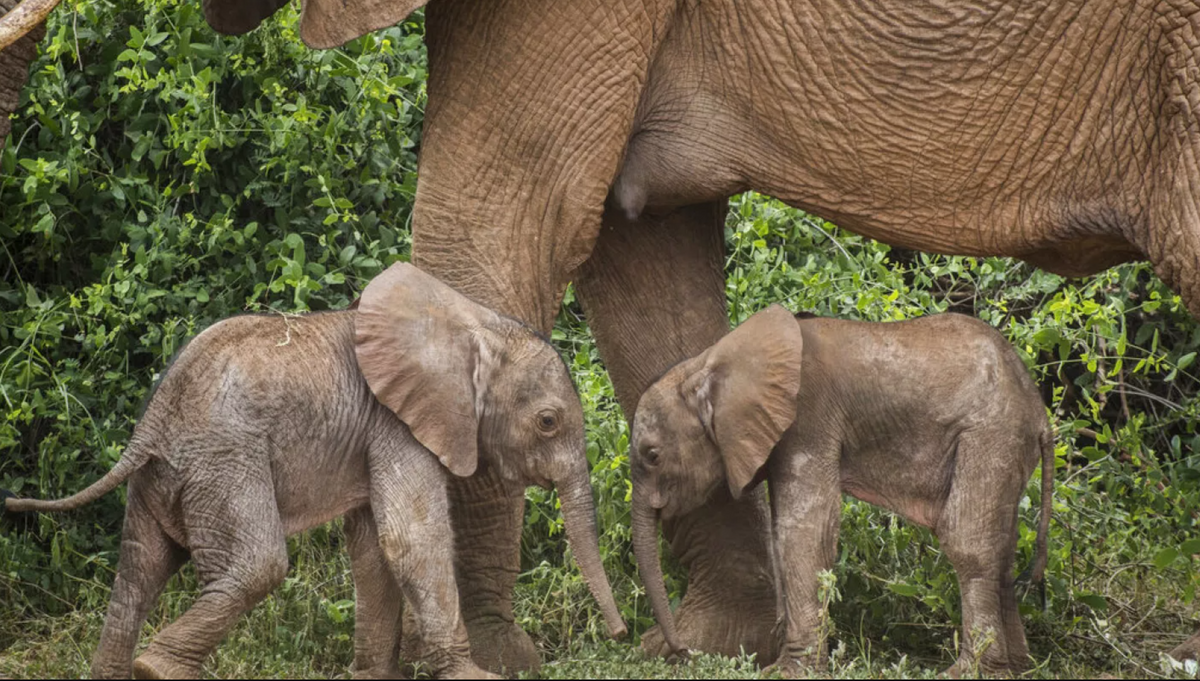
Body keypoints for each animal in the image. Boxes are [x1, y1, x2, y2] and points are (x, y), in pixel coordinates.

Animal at [7, 262, 628, 681]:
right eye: (547, 422)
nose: (623, 635)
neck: (472, 325)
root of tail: (152, 422)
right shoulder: (396, 423)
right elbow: (411, 539)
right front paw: (472, 676)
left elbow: (375, 549)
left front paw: (374, 677)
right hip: (224, 460)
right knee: (256, 565)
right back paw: (157, 669)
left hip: (168, 474)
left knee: (138, 571)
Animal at [633, 306, 1056, 676]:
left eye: (652, 455)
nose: (682, 652)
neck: (708, 362)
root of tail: (1039, 411)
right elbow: (781, 532)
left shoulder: (808, 418)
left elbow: (803, 534)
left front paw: (788, 672)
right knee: (1002, 548)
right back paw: (1017, 668)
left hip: (991, 434)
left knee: (968, 542)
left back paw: (968, 671)